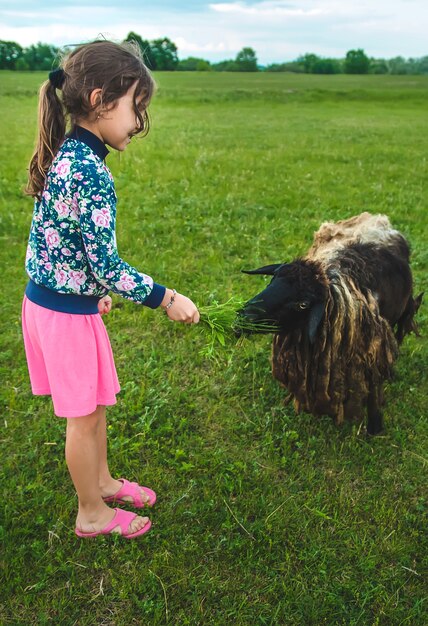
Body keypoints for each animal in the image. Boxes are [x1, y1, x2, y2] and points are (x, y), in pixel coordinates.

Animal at [239, 212, 422, 432]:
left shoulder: (373, 352)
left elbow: (374, 390)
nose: (243, 316)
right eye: (272, 280)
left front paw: (375, 428)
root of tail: (379, 220)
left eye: (303, 304)